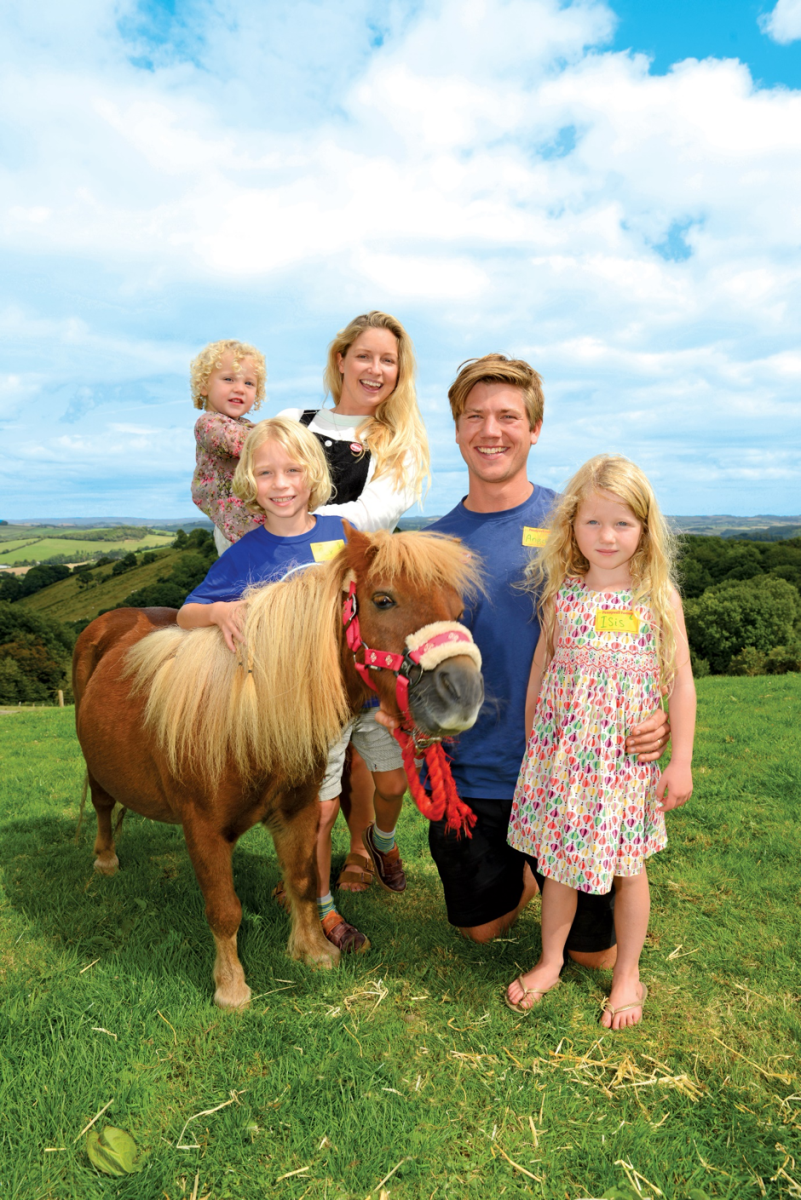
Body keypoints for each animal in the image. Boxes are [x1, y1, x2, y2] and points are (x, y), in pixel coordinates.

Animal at [74, 530, 484, 1008]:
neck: (248, 717)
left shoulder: (298, 814)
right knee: (103, 806)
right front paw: (231, 987)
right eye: (383, 599)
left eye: (458, 610)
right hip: (97, 767)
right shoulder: (204, 830)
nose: (463, 695)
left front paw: (313, 950)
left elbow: (304, 881)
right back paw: (105, 858)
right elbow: (224, 909)